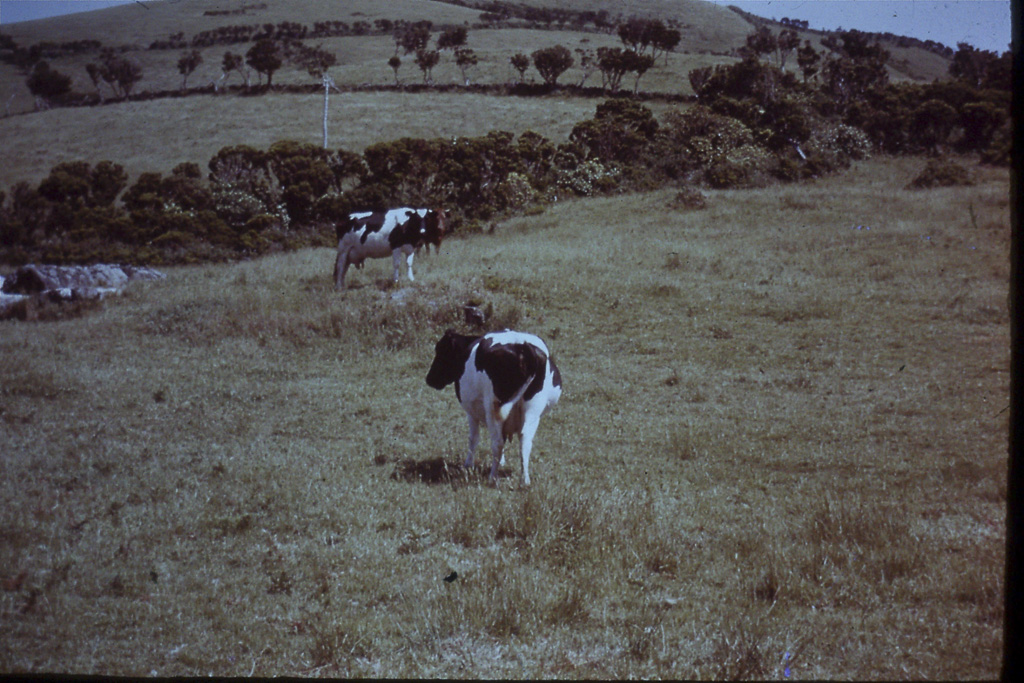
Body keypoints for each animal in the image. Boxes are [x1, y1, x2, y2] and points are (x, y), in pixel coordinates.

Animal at [425, 329, 565, 485]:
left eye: (441, 350)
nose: (429, 379)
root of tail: (522, 345)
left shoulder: (471, 412)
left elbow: (474, 438)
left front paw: (468, 464)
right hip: (533, 409)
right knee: (525, 440)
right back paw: (525, 479)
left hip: (492, 408)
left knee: (497, 443)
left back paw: (492, 477)